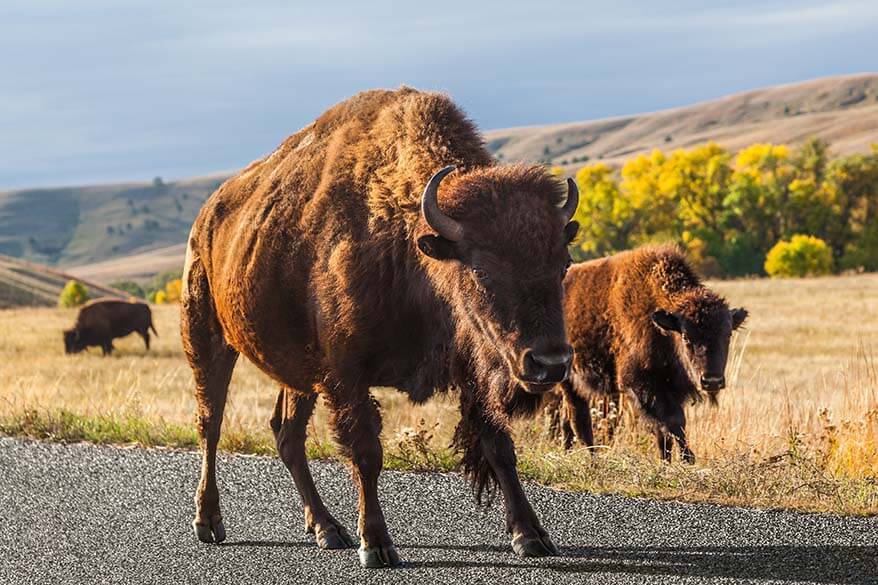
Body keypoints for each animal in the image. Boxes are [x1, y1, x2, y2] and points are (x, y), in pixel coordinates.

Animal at [181, 86, 580, 564]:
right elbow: (367, 452)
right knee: (211, 423)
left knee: (287, 435)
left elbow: (498, 445)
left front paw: (530, 535)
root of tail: (207, 217)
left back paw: (326, 528)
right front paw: (376, 544)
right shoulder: (346, 375)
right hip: (207, 337)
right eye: (481, 271)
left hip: (298, 372)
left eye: (563, 264)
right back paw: (209, 522)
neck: (416, 249)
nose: (550, 362)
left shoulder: (473, 372)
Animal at [552, 245, 748, 460]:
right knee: (579, 420)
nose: (712, 381)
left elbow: (664, 433)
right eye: (686, 337)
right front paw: (688, 458)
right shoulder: (640, 384)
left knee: (567, 422)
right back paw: (593, 457)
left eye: (727, 334)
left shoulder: (672, 388)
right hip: (569, 381)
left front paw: (667, 460)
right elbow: (674, 421)